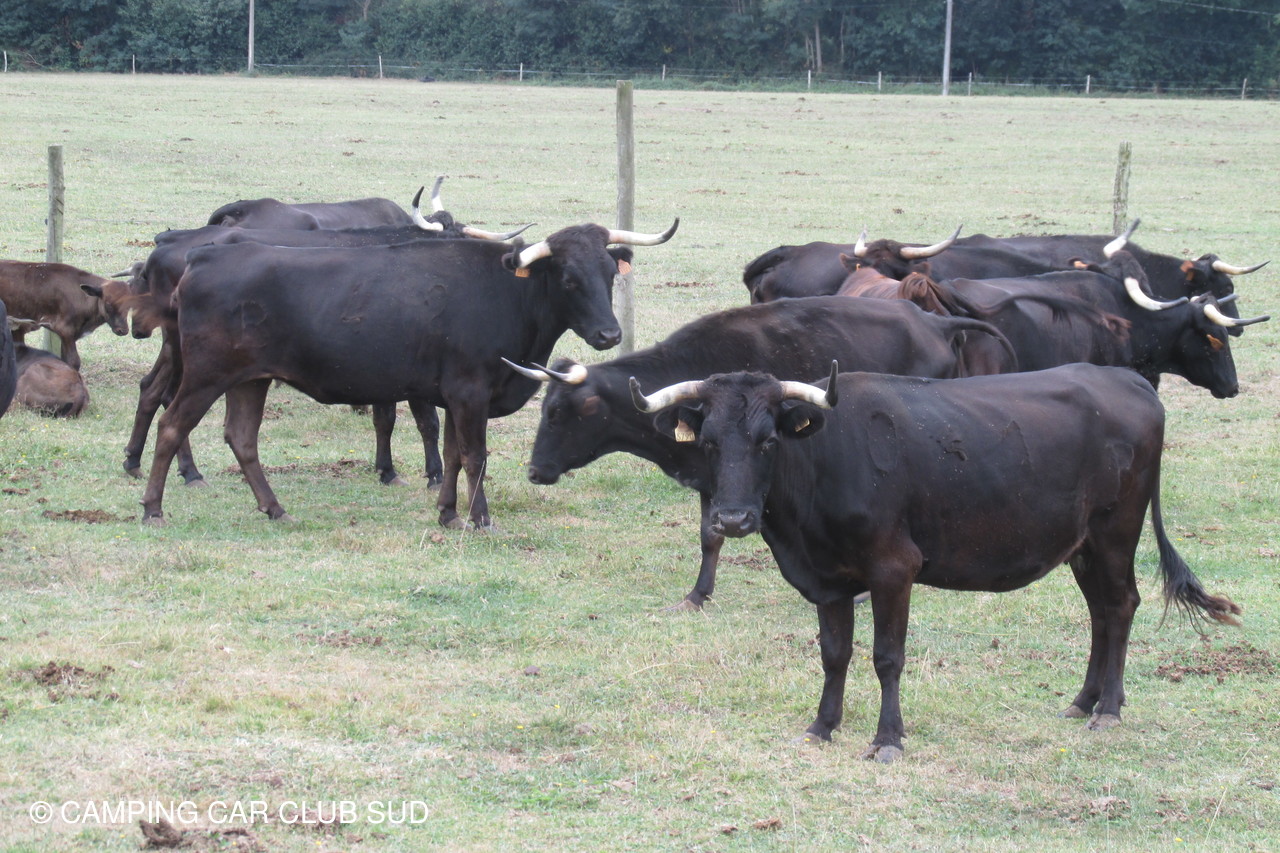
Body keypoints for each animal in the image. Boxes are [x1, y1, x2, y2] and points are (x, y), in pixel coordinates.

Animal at [138, 219, 679, 528]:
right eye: (568, 278)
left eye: (608, 274)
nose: (609, 334)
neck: (507, 292)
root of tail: (204, 253)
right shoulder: (470, 392)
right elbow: (475, 456)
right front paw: (480, 518)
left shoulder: (452, 396)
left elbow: (452, 455)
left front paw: (447, 513)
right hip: (206, 374)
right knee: (171, 424)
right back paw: (153, 509)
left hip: (250, 379)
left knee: (241, 437)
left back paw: (275, 509)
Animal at [515, 296, 1017, 610]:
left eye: (556, 412)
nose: (535, 471)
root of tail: (934, 321)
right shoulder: (714, 480)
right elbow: (710, 536)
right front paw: (697, 595)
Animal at [629, 363, 1243, 761]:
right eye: (708, 441)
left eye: (768, 441)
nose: (732, 519)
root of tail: (1128, 378)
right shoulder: (828, 579)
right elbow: (834, 654)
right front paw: (823, 725)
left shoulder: (893, 569)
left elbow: (887, 658)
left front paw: (887, 739)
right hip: (1083, 545)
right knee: (1100, 613)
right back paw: (1082, 701)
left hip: (1116, 532)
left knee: (1120, 605)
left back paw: (1109, 708)